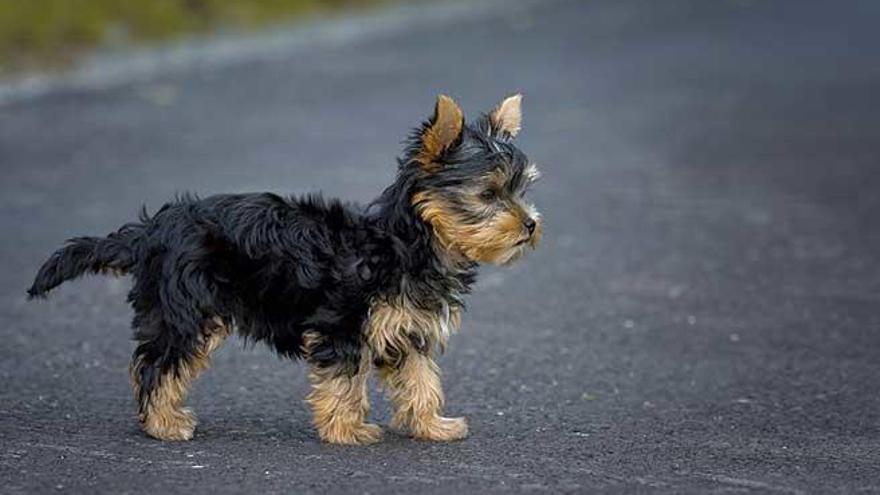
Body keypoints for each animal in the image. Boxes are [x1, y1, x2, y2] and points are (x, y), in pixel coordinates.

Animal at [29, 94, 544, 446]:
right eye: (488, 194)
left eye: (521, 190)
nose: (531, 225)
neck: (406, 244)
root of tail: (153, 229)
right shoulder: (343, 325)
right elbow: (344, 381)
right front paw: (347, 430)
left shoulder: (406, 329)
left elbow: (421, 379)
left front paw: (432, 424)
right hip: (187, 310)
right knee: (160, 363)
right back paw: (164, 424)